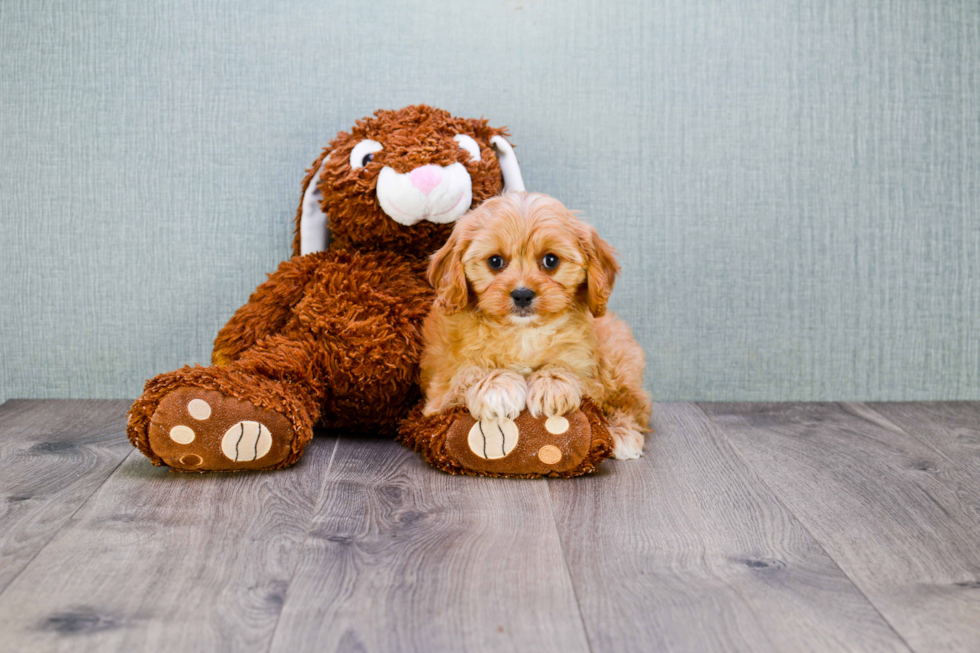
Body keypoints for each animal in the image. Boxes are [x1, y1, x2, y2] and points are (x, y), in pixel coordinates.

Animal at [420, 190, 652, 458]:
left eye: (551, 260)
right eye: (495, 261)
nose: (522, 294)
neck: (523, 333)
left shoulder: (587, 365)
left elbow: (568, 368)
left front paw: (551, 385)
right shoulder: (438, 394)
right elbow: (468, 371)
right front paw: (498, 387)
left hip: (618, 357)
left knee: (634, 402)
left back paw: (623, 434)